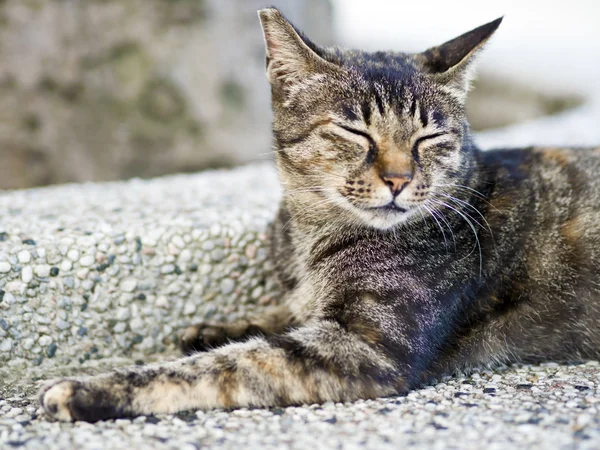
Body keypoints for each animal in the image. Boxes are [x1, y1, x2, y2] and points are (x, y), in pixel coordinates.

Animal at [38, 7, 600, 422]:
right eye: (354, 131)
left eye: (428, 138)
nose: (398, 179)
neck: (311, 232)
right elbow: (283, 313)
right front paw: (224, 325)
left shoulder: (365, 345)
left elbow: (224, 366)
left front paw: (92, 390)